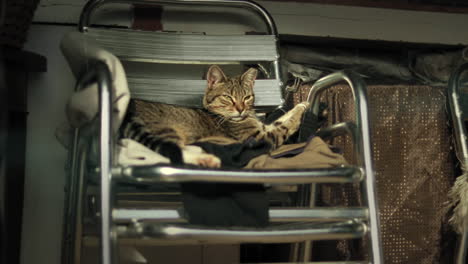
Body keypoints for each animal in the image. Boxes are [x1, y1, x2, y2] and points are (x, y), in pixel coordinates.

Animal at [119, 65, 310, 167]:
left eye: (247, 97)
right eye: (228, 97)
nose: (240, 109)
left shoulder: (264, 128)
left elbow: (280, 120)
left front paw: (301, 105)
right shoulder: (260, 137)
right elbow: (285, 125)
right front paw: (301, 108)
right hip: (164, 129)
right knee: (164, 154)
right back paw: (205, 158)